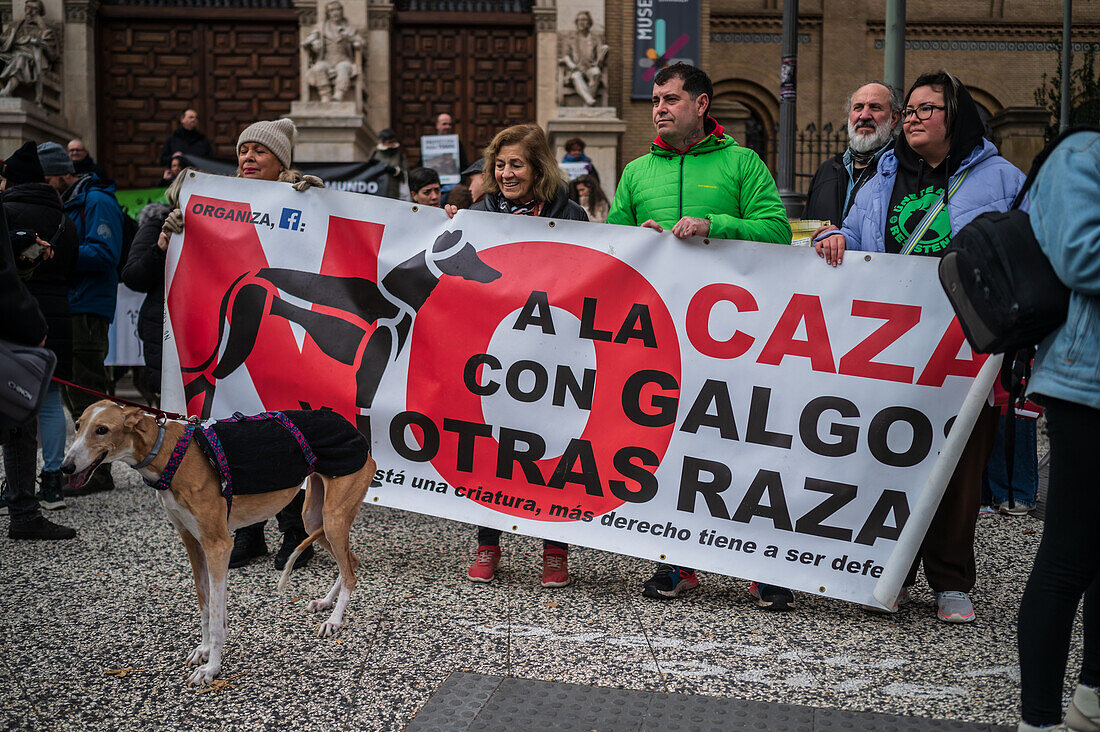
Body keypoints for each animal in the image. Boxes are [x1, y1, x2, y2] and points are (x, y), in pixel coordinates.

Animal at [61, 402, 378, 682]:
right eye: (77, 425)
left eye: (102, 430)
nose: (66, 467)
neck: (169, 453)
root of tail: (356, 433)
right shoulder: (192, 543)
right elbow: (205, 607)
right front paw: (203, 651)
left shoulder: (218, 546)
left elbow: (215, 615)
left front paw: (211, 669)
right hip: (315, 518)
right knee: (350, 562)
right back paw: (326, 603)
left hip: (333, 518)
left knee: (350, 572)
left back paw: (334, 620)